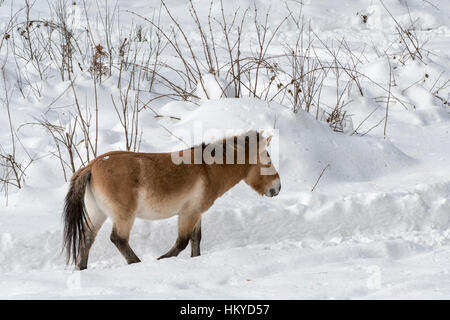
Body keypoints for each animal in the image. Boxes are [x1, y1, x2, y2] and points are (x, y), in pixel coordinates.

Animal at [62, 131, 282, 270]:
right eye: (268, 159)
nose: (278, 187)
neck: (208, 169)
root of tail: (92, 165)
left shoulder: (196, 213)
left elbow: (195, 240)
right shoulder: (188, 214)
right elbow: (182, 242)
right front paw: (161, 260)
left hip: (97, 214)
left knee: (87, 239)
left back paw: (82, 268)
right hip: (124, 215)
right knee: (118, 239)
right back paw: (137, 263)